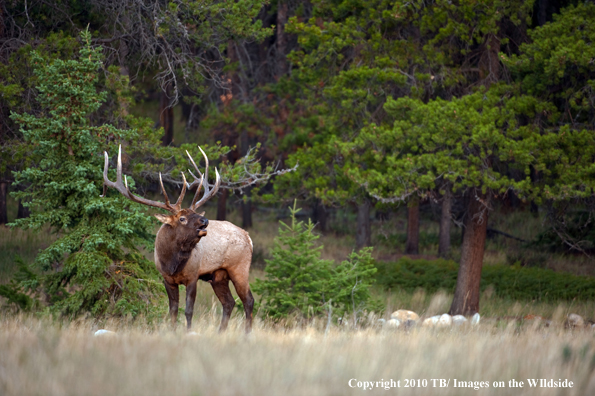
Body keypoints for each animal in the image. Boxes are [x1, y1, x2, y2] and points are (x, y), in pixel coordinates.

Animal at [100, 147, 254, 332]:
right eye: (182, 218)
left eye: (195, 213)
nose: (205, 221)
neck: (172, 263)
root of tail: (248, 237)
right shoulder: (167, 279)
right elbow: (173, 310)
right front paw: (172, 332)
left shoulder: (193, 276)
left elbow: (188, 310)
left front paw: (188, 332)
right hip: (218, 276)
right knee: (229, 303)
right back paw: (220, 333)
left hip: (239, 268)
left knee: (248, 301)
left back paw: (246, 334)